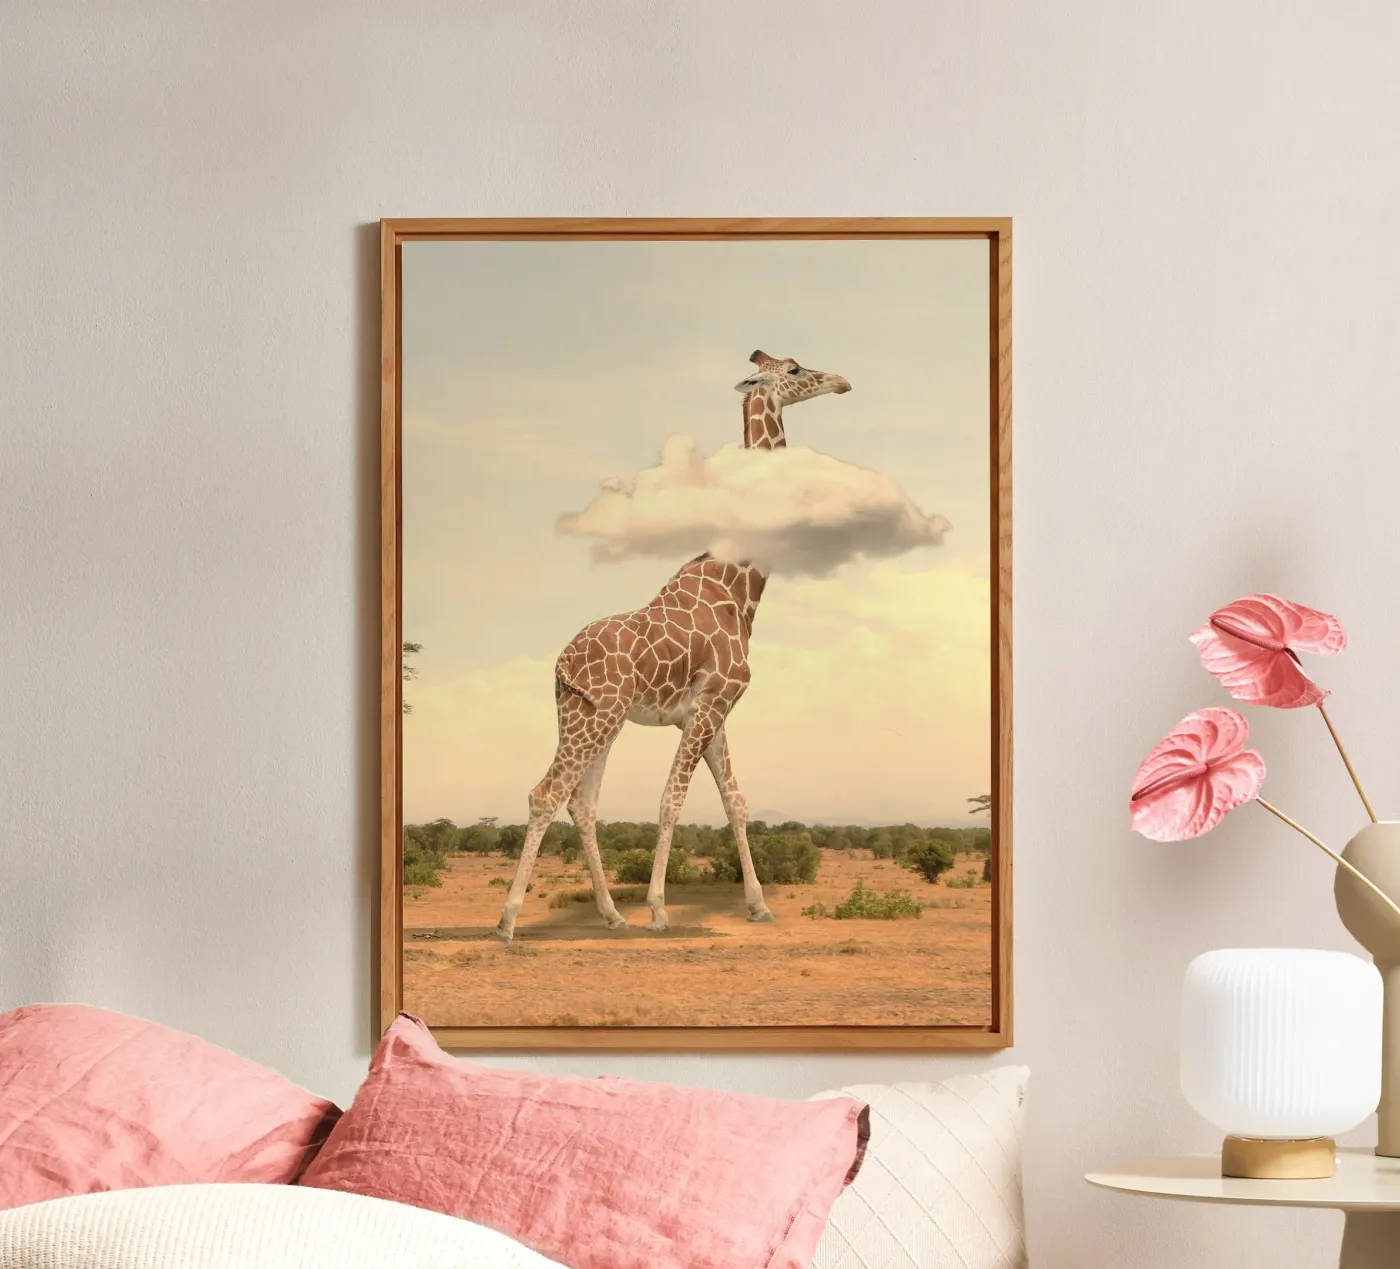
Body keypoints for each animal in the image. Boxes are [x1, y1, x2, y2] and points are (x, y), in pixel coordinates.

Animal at [493, 350, 852, 943]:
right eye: (796, 369)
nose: (842, 382)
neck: (739, 587)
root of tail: (561, 665)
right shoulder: (710, 705)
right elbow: (671, 800)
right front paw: (660, 909)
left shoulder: (712, 712)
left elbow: (736, 802)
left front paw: (758, 906)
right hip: (598, 718)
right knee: (547, 793)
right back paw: (507, 921)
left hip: (589, 717)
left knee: (582, 802)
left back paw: (612, 915)